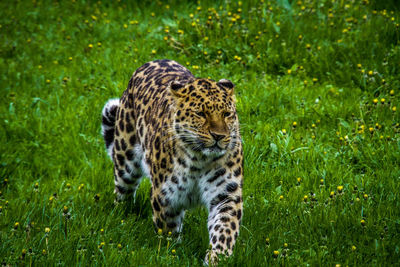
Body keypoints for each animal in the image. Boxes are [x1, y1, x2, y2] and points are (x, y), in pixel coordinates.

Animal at [100, 59, 244, 264]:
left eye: (227, 114)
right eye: (201, 114)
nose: (219, 136)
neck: (199, 159)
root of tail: (152, 61)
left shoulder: (225, 194)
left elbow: (224, 229)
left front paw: (218, 258)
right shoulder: (166, 196)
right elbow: (168, 229)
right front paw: (172, 253)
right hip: (124, 161)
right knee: (122, 192)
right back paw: (122, 217)